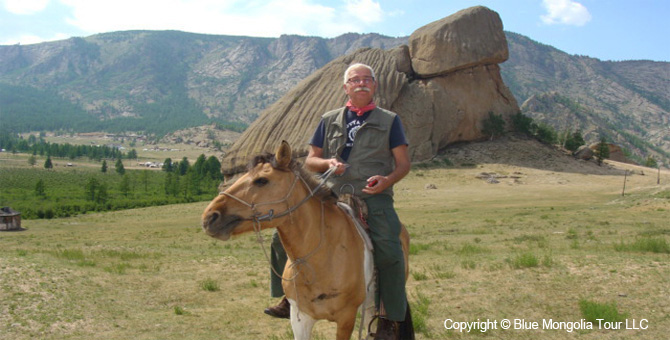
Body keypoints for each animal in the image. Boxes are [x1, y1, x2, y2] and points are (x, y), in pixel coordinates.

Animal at [202, 141, 412, 340]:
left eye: (262, 180)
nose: (209, 217)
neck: (322, 256)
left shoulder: (346, 319)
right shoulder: (300, 319)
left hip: (371, 304)